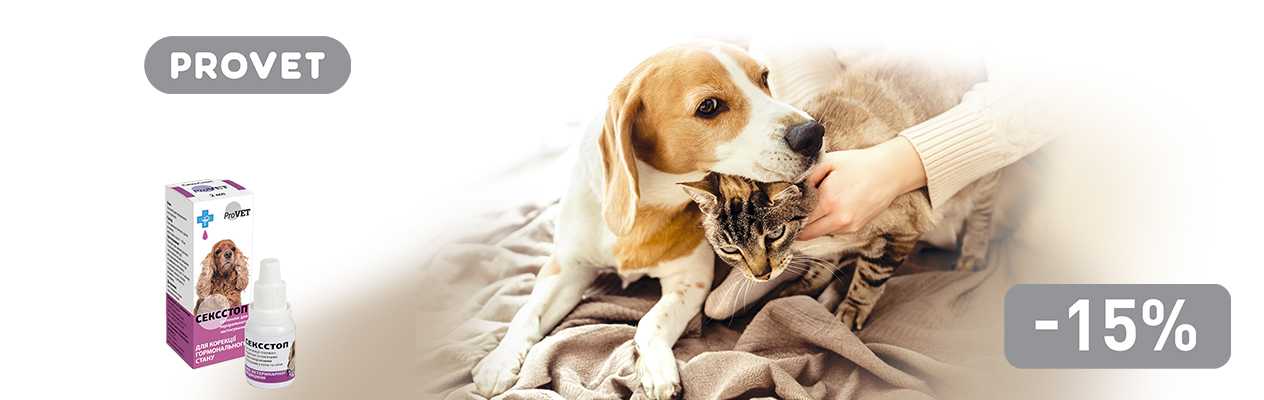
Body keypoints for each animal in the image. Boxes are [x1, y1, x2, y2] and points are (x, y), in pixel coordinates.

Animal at [471, 40, 823, 400]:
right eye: (708, 106)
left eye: (763, 77)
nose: (813, 133)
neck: (644, 208)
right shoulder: (567, 269)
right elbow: (526, 311)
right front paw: (500, 360)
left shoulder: (690, 280)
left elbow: (649, 322)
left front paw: (656, 368)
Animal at [680, 51, 1001, 330]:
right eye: (729, 250)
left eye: (774, 235)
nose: (762, 276)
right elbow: (824, 265)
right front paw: (803, 286)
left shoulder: (901, 233)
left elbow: (868, 280)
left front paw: (850, 311)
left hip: (981, 180)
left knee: (983, 214)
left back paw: (973, 254)